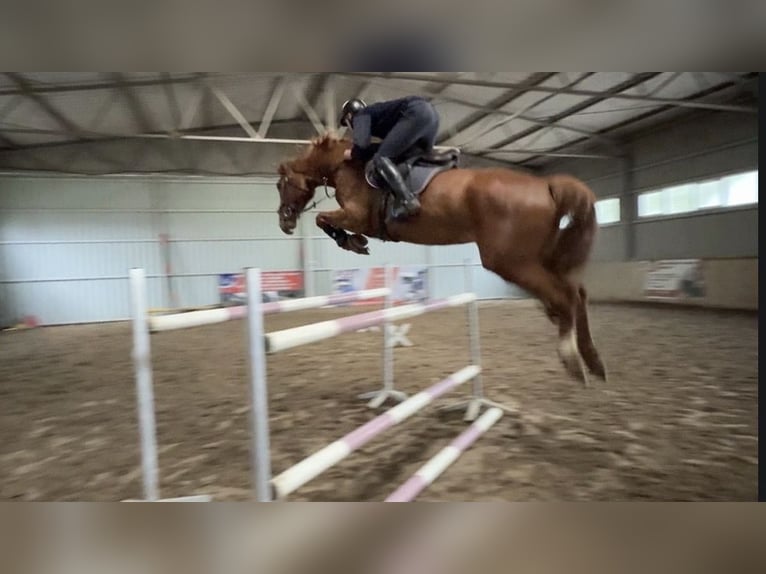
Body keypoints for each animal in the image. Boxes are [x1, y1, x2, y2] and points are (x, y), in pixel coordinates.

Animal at [276, 135, 607, 385]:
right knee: (578, 293)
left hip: (510, 261)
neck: (347, 165)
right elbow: (324, 220)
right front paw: (354, 242)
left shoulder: (357, 216)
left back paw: (572, 359)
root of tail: (546, 185)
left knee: (565, 296)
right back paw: (594, 360)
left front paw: (351, 242)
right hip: (538, 259)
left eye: (280, 185)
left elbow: (322, 218)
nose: (285, 223)